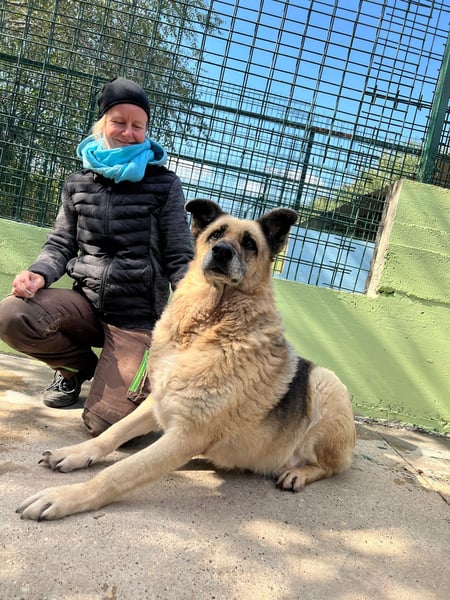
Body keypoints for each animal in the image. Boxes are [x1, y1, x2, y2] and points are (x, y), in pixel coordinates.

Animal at [17, 199, 356, 521]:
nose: (221, 252)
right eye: (216, 234)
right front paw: (75, 453)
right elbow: (112, 432)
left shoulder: (187, 435)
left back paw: (298, 473)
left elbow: (117, 473)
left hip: (326, 383)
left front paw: (64, 497)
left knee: (331, 466)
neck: (207, 325)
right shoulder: (158, 401)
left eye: (249, 243)